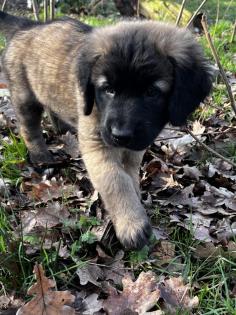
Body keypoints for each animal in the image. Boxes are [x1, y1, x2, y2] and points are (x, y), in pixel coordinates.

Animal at [0, 11, 213, 249]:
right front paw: (131, 223)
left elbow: (129, 174)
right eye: (108, 89)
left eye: (151, 92)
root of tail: (27, 26)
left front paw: (135, 200)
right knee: (29, 128)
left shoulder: (135, 146)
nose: (120, 135)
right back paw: (41, 157)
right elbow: (116, 180)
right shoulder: (98, 143)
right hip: (24, 96)